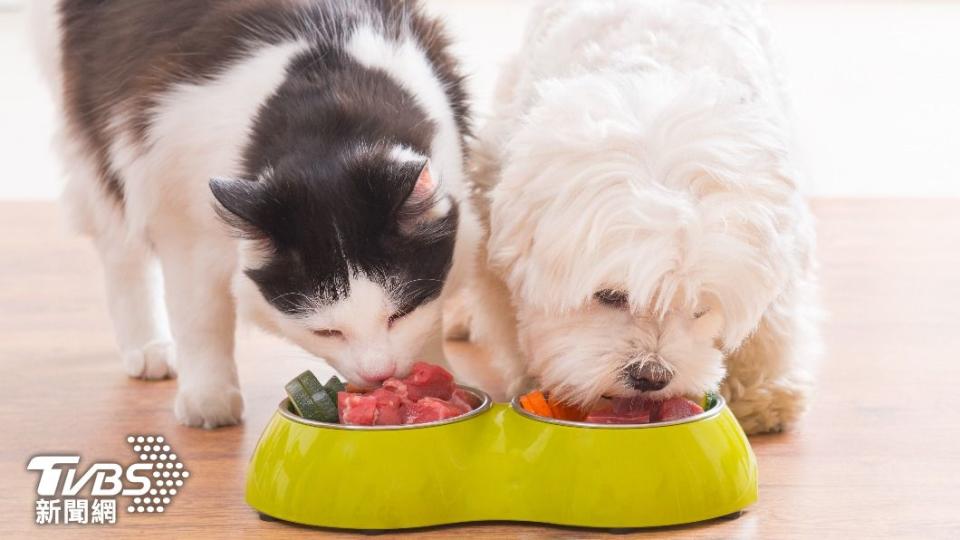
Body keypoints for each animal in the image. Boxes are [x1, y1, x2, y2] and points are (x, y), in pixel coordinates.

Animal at [31, 1, 474, 426]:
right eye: (327, 332)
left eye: (400, 314)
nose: (380, 374)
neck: (327, 117)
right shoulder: (180, 214)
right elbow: (200, 316)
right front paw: (208, 399)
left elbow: (431, 317)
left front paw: (435, 374)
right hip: (103, 141)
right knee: (121, 249)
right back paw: (149, 348)